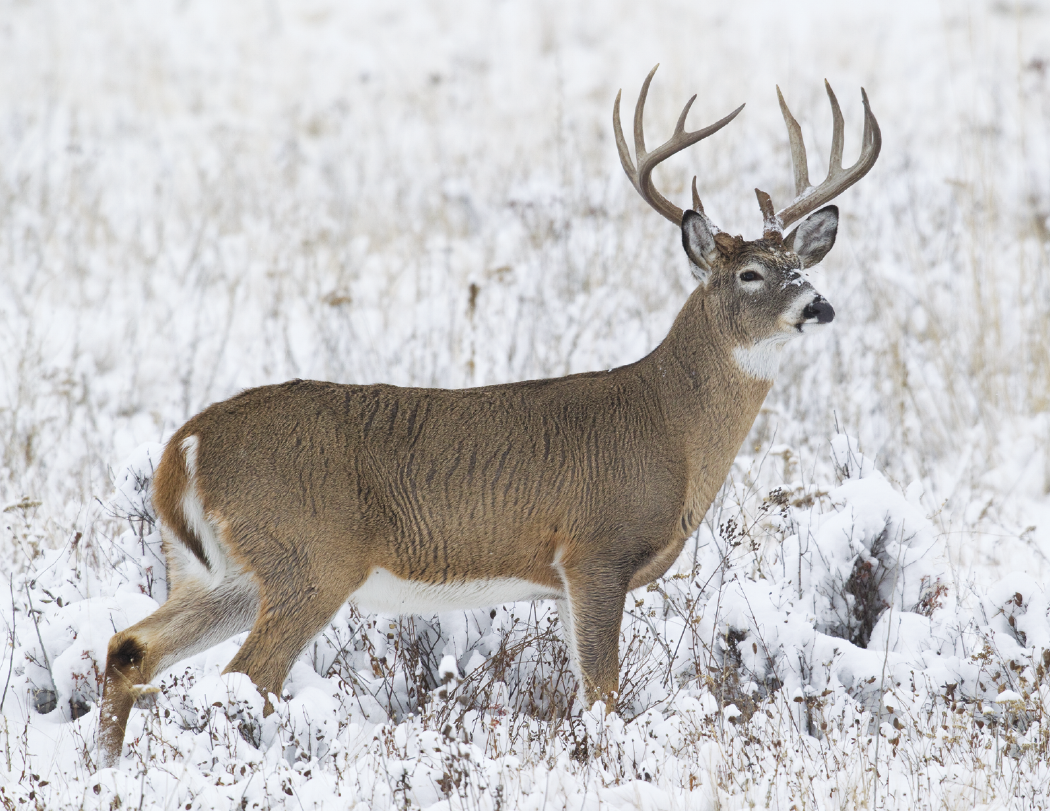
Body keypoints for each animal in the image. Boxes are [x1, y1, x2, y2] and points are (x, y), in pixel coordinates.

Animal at [97, 65, 880, 768]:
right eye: (749, 273)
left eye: (800, 266)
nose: (818, 304)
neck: (669, 426)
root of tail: (186, 446)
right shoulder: (595, 548)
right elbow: (603, 696)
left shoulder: (567, 577)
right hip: (309, 557)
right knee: (243, 677)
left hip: (218, 573)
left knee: (130, 647)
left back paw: (106, 766)